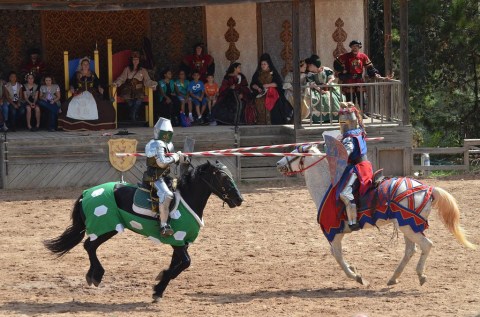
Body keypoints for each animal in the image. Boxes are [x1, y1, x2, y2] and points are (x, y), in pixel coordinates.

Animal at [45, 162, 244, 300]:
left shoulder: (180, 243)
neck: (187, 199)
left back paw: (92, 275)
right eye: (224, 178)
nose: (239, 199)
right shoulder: (178, 242)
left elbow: (176, 265)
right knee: (89, 245)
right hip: (106, 227)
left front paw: (160, 285)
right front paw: (158, 288)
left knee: (90, 246)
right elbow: (185, 263)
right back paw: (97, 275)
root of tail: (86, 193)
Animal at [278, 144, 476, 286]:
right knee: (410, 250)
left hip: (408, 226)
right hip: (408, 226)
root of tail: (428, 188)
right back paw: (393, 278)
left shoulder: (334, 233)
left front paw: (357, 276)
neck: (329, 185)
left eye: (293, 153)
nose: (279, 164)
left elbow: (337, 255)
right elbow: (337, 255)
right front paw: (354, 269)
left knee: (426, 245)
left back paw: (420, 275)